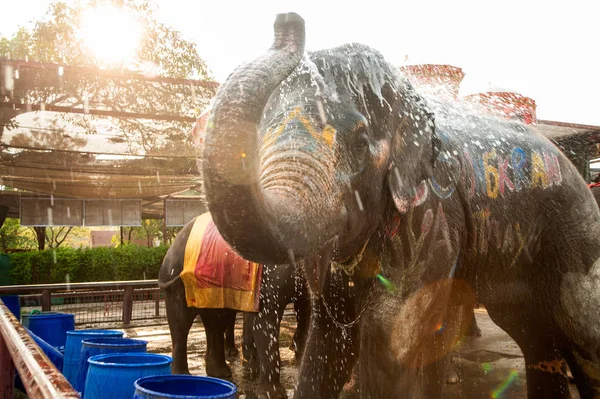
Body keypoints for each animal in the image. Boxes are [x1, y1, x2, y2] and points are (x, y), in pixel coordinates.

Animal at [159, 214, 310, 398]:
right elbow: (265, 319)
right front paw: (274, 395)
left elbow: (305, 311)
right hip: (177, 280)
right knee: (181, 322)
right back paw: (184, 377)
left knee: (216, 321)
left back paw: (221, 373)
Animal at [200, 11, 600, 399]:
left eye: (360, 143)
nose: (288, 19)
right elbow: (329, 344)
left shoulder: (429, 219)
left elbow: (391, 333)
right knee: (530, 330)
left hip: (576, 233)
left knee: (581, 333)